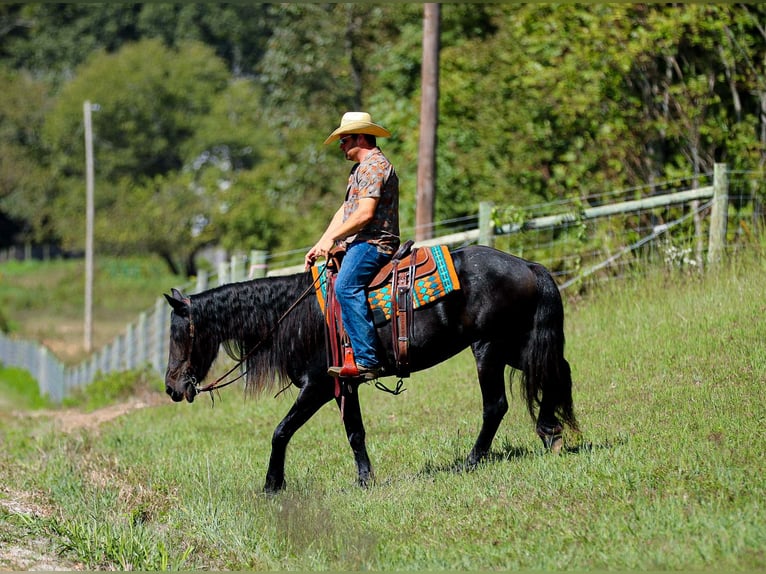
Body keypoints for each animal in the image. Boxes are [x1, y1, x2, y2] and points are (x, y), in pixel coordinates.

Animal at [163, 244, 579, 493]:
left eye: (179, 335)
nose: (172, 387)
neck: (297, 316)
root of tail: (528, 265)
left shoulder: (316, 386)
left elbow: (281, 431)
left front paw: (272, 485)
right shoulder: (343, 386)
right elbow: (355, 433)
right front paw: (365, 479)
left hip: (488, 348)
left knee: (496, 405)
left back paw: (472, 461)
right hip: (515, 345)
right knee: (556, 372)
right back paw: (551, 433)